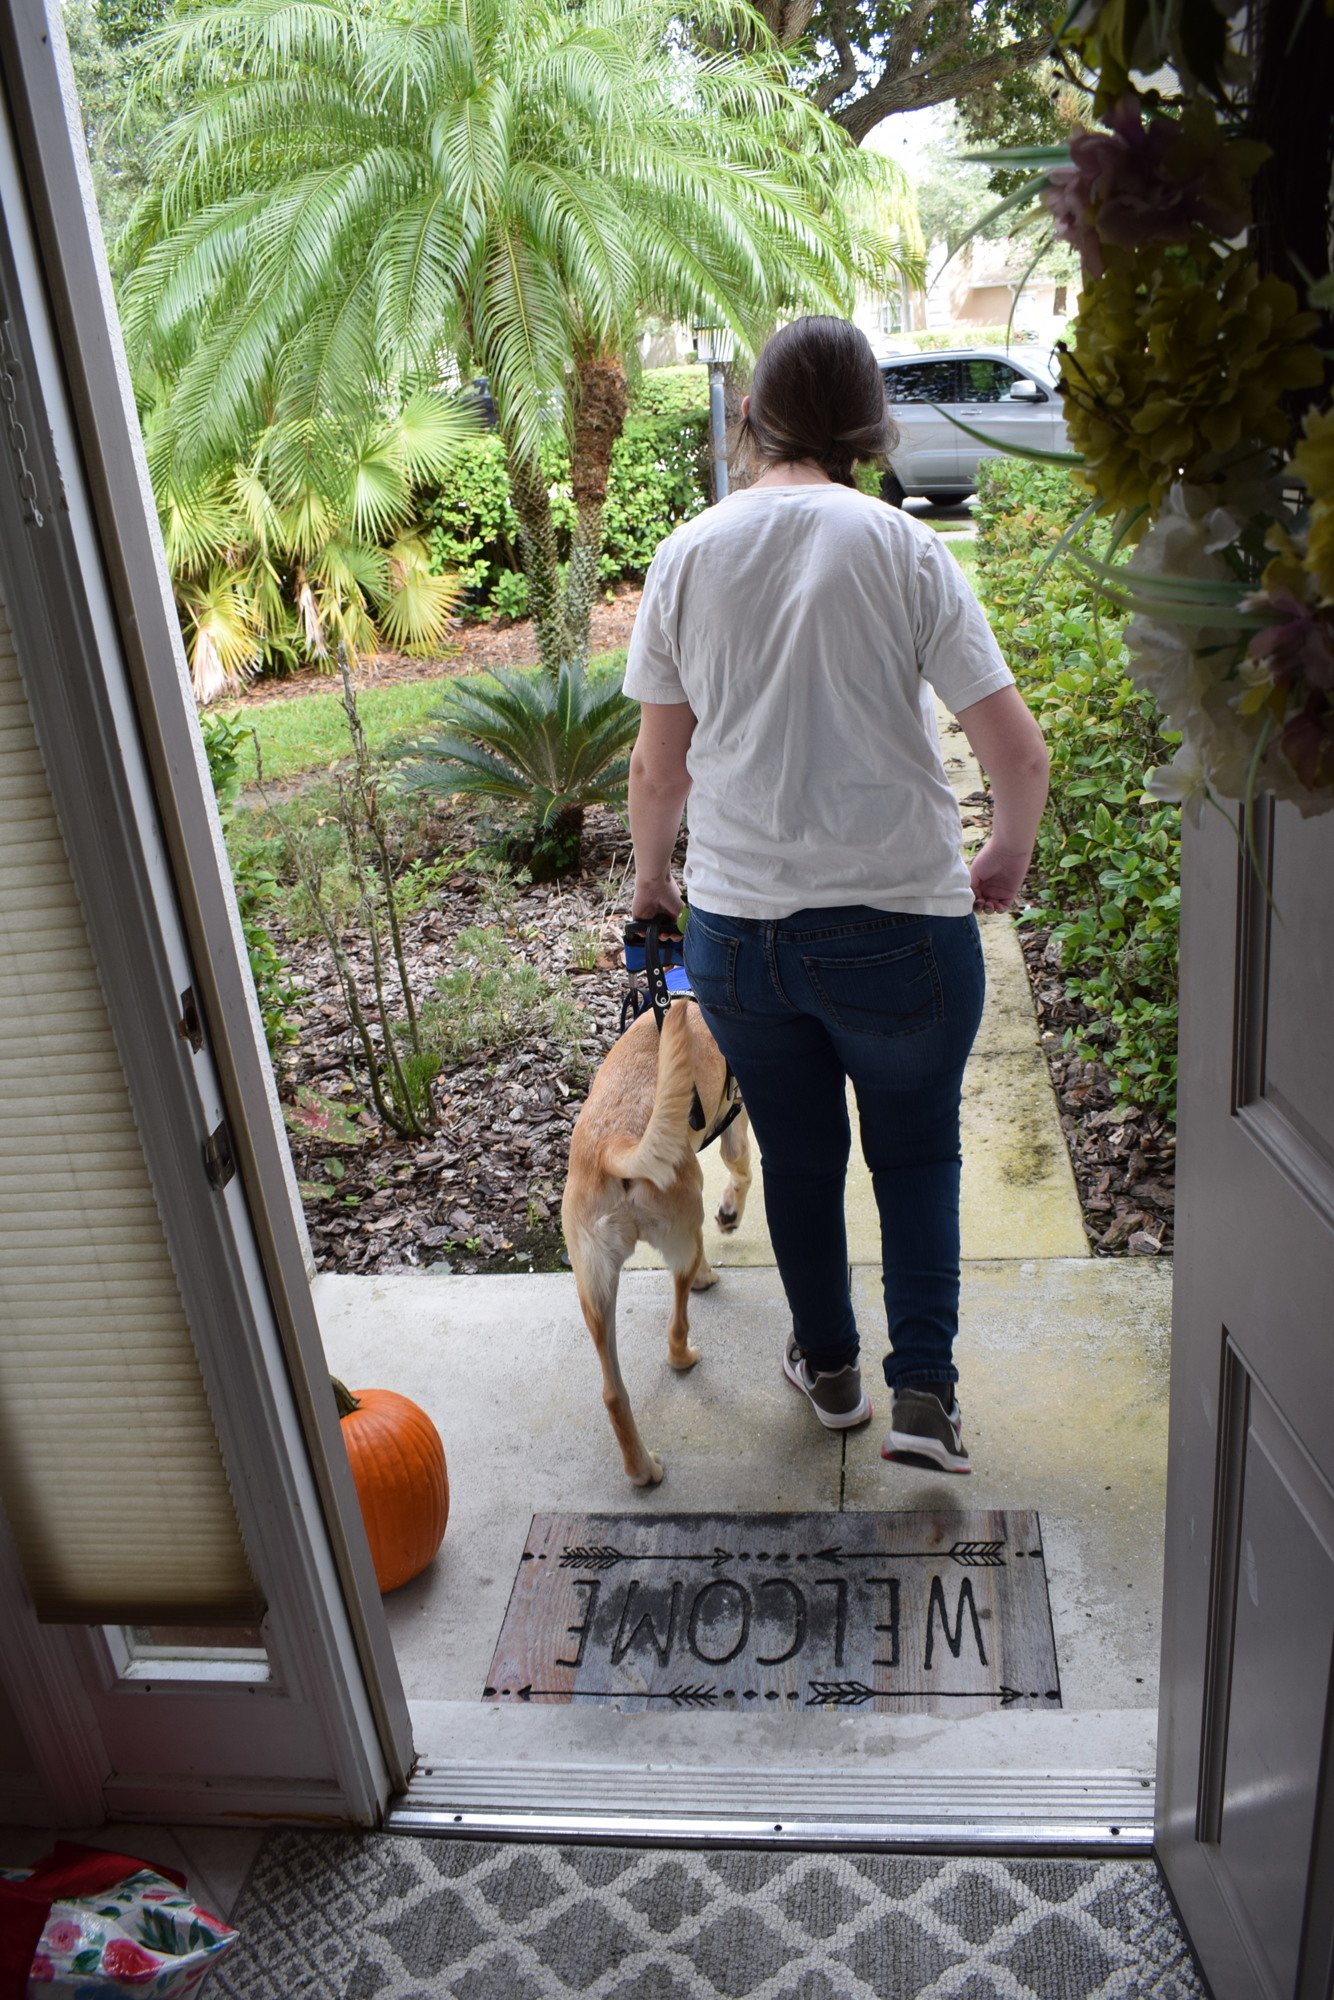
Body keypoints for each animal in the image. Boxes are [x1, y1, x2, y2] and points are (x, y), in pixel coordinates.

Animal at [560, 1000, 752, 1488]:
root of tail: (616, 1144)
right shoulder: (738, 1121)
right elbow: (741, 1172)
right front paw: (730, 1215)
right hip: (683, 1223)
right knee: (677, 1323)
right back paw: (689, 1336)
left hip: (594, 1288)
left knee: (612, 1393)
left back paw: (642, 1469)